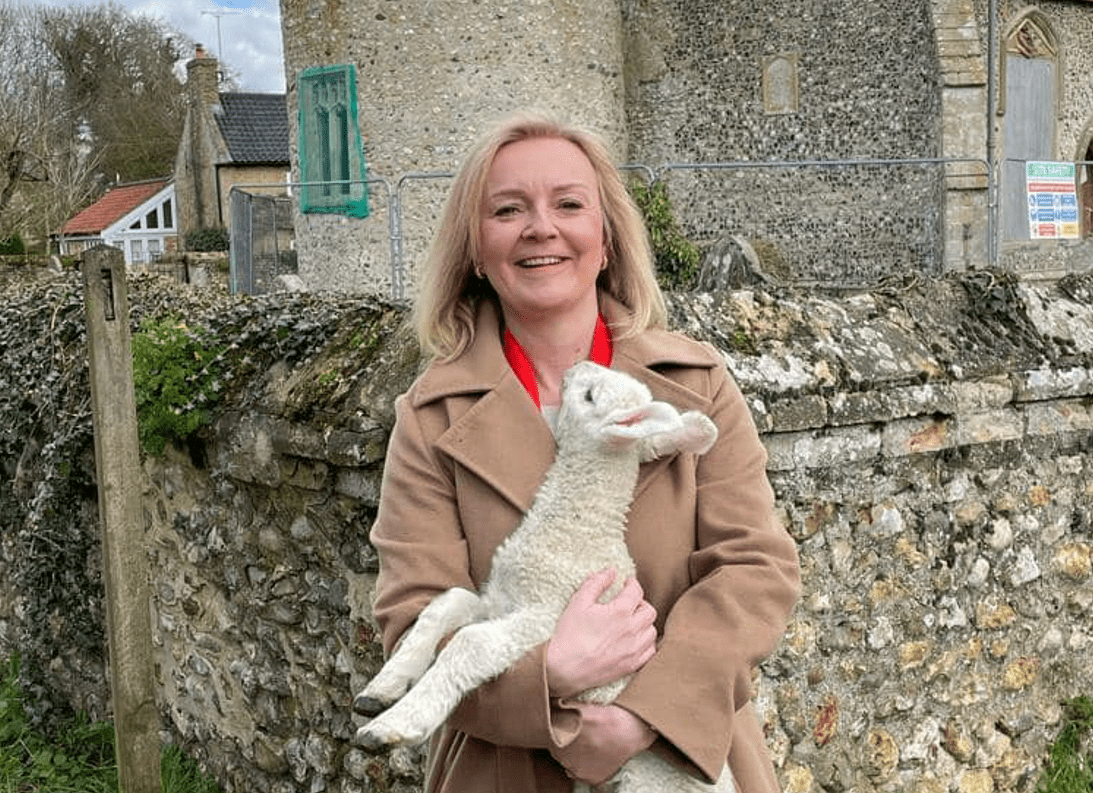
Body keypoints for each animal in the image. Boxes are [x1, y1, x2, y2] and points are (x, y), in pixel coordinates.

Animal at [354, 362, 738, 793]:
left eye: (589, 395)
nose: (575, 366)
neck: (577, 528)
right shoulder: (500, 599)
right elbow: (447, 602)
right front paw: (381, 690)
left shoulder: (551, 614)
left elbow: (472, 643)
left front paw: (391, 727)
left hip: (648, 782)